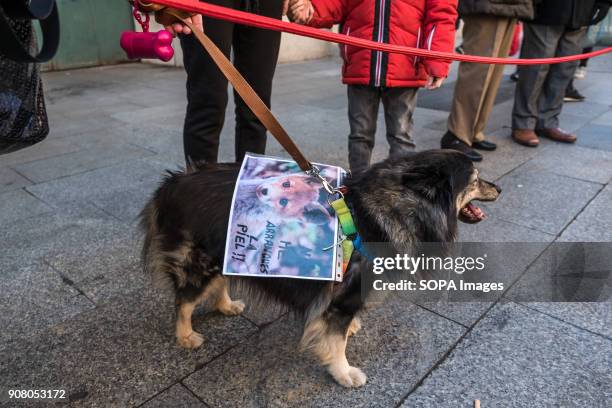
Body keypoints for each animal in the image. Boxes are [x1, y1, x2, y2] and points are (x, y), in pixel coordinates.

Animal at [141, 151, 500, 388]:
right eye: (474, 180)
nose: (499, 188)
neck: (398, 209)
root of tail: (171, 182)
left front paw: (352, 329)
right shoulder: (344, 297)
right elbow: (336, 343)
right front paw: (344, 373)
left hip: (226, 251)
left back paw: (226, 305)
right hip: (197, 262)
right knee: (183, 300)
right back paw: (185, 335)